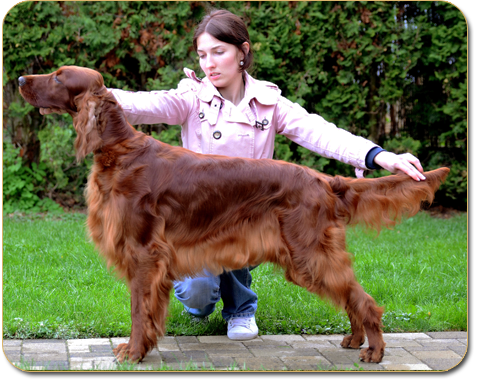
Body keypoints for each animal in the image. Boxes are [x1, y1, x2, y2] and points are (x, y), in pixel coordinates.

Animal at [18, 67, 450, 366]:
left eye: (58, 76)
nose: (20, 77)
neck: (120, 150)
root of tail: (325, 180)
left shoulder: (143, 253)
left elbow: (140, 310)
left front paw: (135, 352)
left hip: (308, 253)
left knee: (364, 298)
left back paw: (373, 350)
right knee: (350, 293)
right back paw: (355, 339)